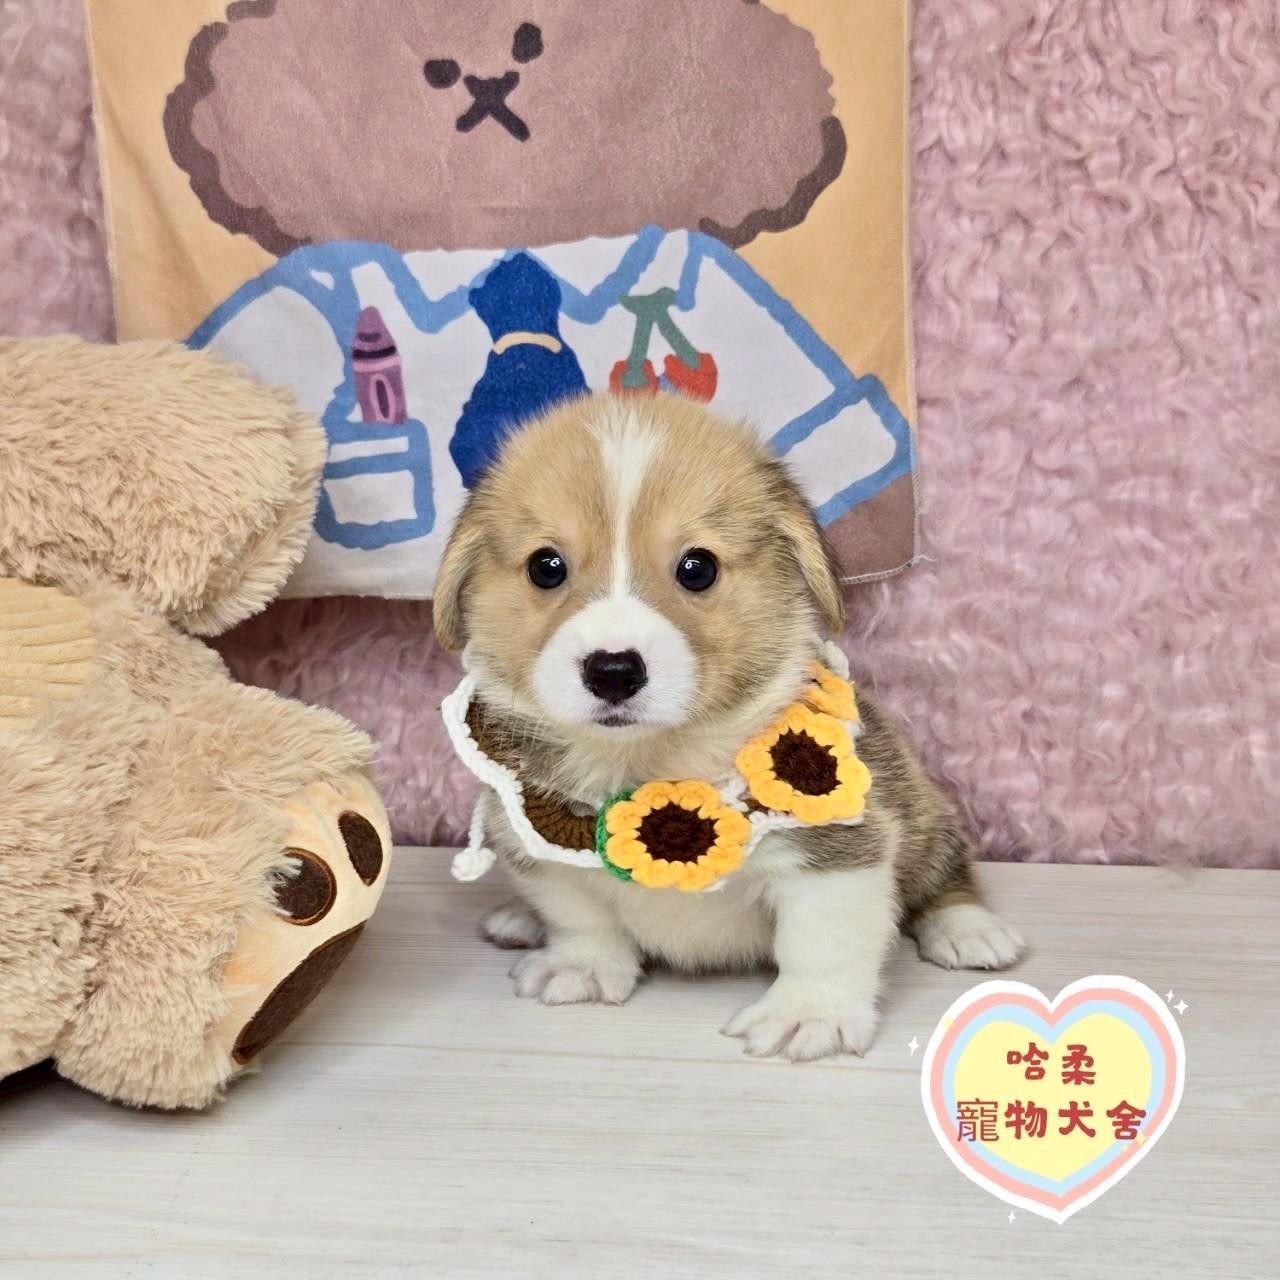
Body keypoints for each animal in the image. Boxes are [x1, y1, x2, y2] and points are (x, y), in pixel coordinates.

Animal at [433, 393, 1024, 1060]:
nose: (613, 670)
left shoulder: (837, 852)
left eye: (698, 568)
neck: (649, 762)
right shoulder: (543, 849)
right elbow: (581, 916)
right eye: (546, 566)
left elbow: (823, 940)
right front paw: (582, 965)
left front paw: (808, 1013)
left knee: (944, 876)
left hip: (922, 814)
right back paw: (517, 918)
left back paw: (968, 929)